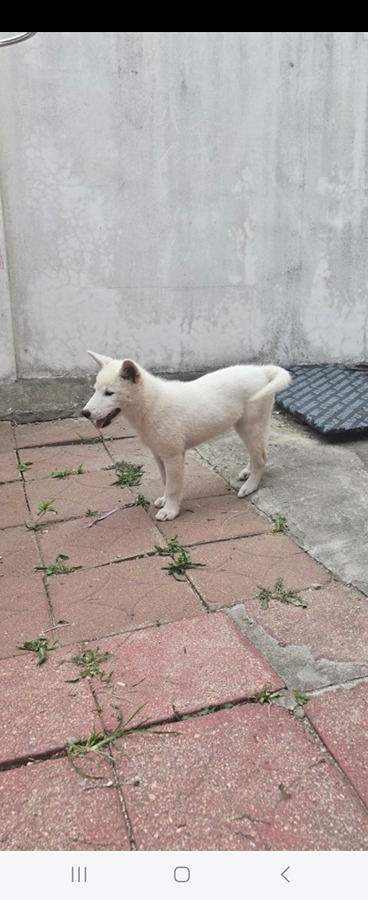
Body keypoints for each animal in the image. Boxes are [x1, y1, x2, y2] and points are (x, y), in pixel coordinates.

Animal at [82, 352, 290, 520]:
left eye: (109, 393)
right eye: (95, 389)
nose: (85, 413)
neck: (151, 404)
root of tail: (262, 371)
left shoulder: (173, 456)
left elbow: (174, 486)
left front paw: (170, 511)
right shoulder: (159, 455)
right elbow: (166, 481)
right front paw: (165, 501)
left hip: (249, 426)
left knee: (261, 458)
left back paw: (250, 486)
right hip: (248, 426)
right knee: (260, 452)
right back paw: (248, 472)